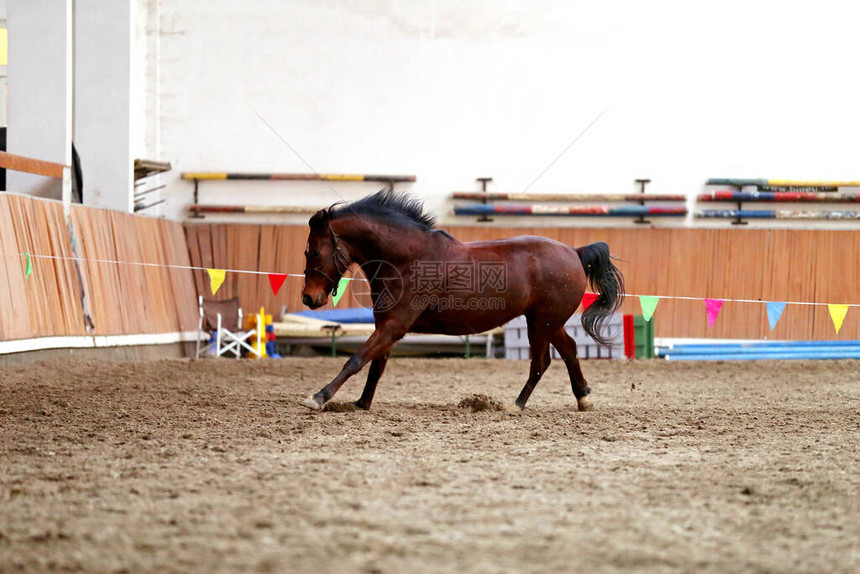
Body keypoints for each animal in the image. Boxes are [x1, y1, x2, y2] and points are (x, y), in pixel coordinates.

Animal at [298, 191, 620, 412]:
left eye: (313, 252)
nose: (308, 298)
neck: (406, 259)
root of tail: (574, 252)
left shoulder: (393, 326)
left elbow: (356, 360)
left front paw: (318, 397)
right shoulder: (386, 327)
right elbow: (376, 365)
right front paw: (361, 403)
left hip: (543, 323)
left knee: (542, 360)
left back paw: (516, 404)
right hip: (547, 323)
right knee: (569, 350)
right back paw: (582, 399)